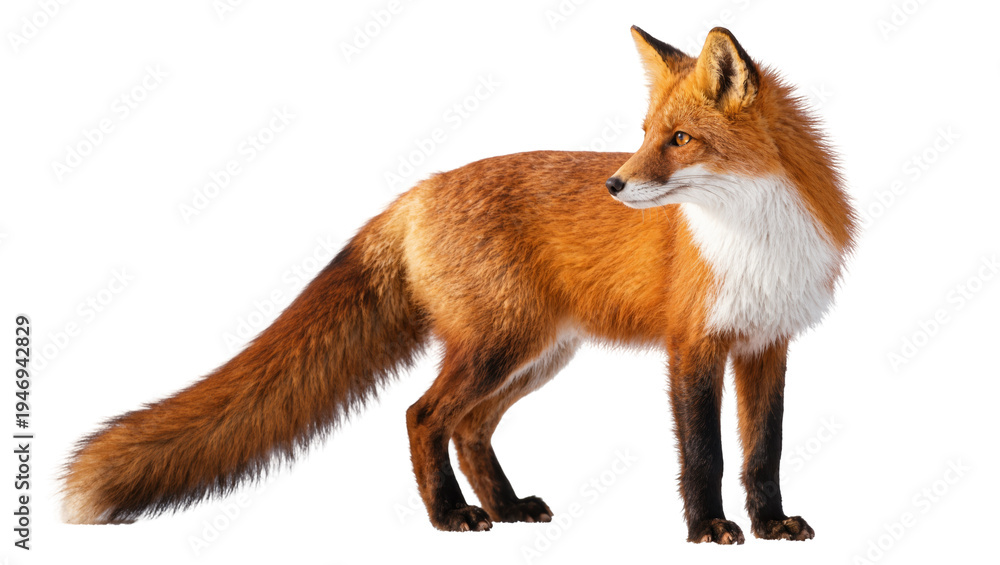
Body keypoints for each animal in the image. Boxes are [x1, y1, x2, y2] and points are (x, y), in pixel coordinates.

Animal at [62, 26, 856, 544]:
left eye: (680, 139)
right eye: (643, 133)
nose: (614, 184)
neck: (754, 236)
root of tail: (418, 191)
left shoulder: (767, 345)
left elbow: (762, 451)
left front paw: (770, 523)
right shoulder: (692, 345)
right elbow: (705, 453)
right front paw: (708, 527)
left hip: (534, 354)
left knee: (469, 427)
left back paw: (505, 508)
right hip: (498, 347)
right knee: (423, 416)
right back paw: (450, 516)